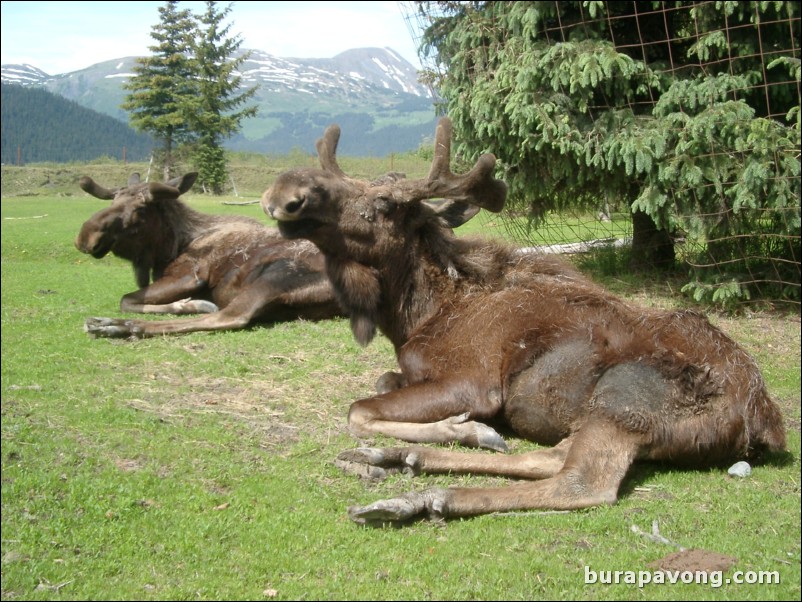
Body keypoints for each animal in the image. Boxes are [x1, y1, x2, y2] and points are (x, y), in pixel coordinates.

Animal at [76, 172, 346, 338]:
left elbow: (126, 300)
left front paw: (190, 304)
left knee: (230, 317)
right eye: (113, 201)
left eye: (141, 208)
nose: (85, 237)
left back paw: (114, 326)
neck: (171, 246)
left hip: (275, 276)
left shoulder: (189, 275)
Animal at [260, 117, 784, 524]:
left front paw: (463, 428)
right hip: (598, 414)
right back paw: (402, 458)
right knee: (549, 457)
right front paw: (461, 432)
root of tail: (763, 419)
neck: (419, 314)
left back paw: (424, 495)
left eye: (383, 204)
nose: (287, 191)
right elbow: (382, 382)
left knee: (581, 483)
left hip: (623, 396)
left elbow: (359, 411)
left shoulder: (473, 382)